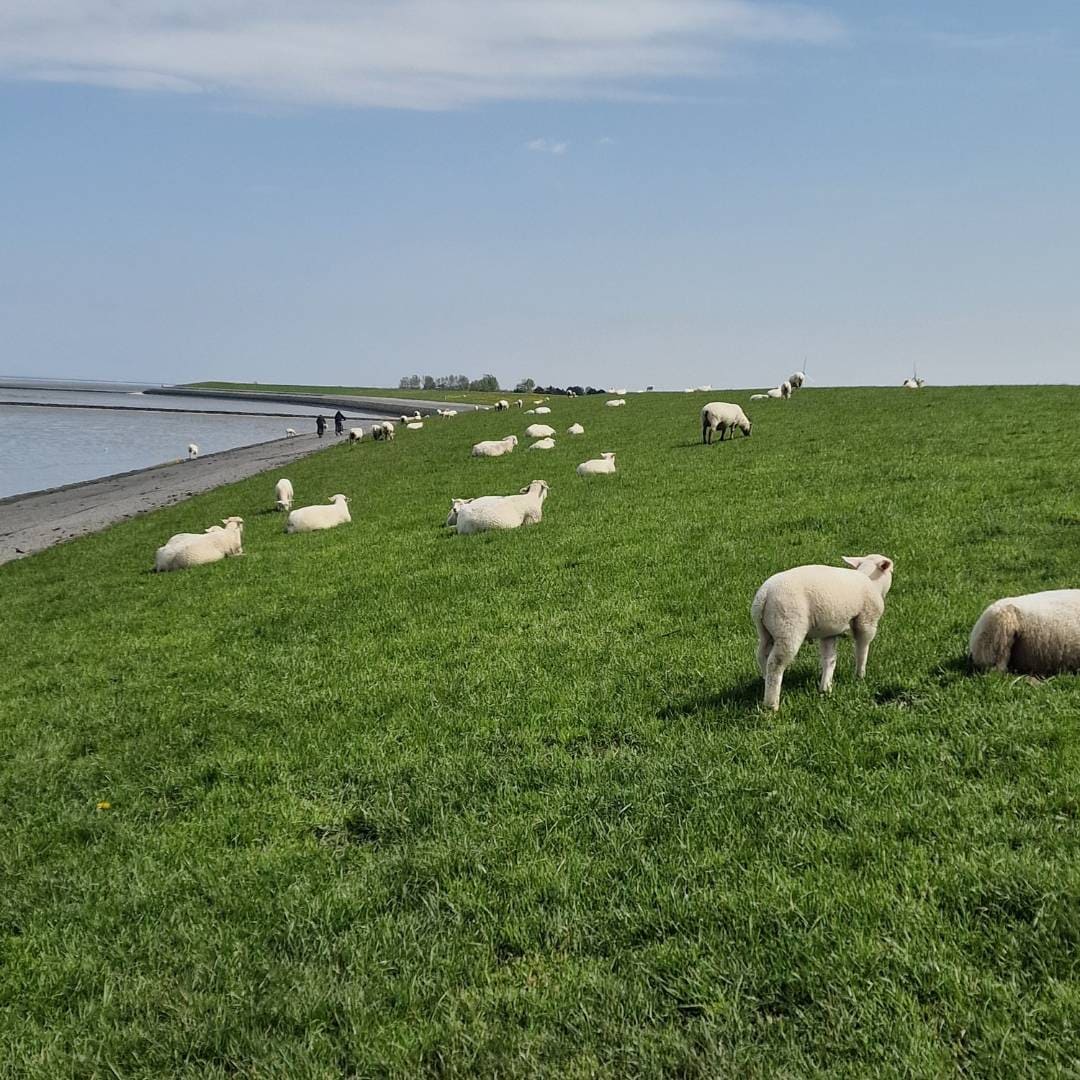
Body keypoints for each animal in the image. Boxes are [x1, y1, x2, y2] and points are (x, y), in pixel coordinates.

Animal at [751, 557, 894, 708]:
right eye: (891, 571)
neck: (872, 581)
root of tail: (764, 594)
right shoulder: (867, 622)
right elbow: (862, 651)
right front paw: (860, 676)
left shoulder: (829, 632)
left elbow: (829, 659)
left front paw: (826, 688)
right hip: (788, 627)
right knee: (776, 664)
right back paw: (771, 704)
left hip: (765, 630)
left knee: (762, 654)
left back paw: (765, 679)